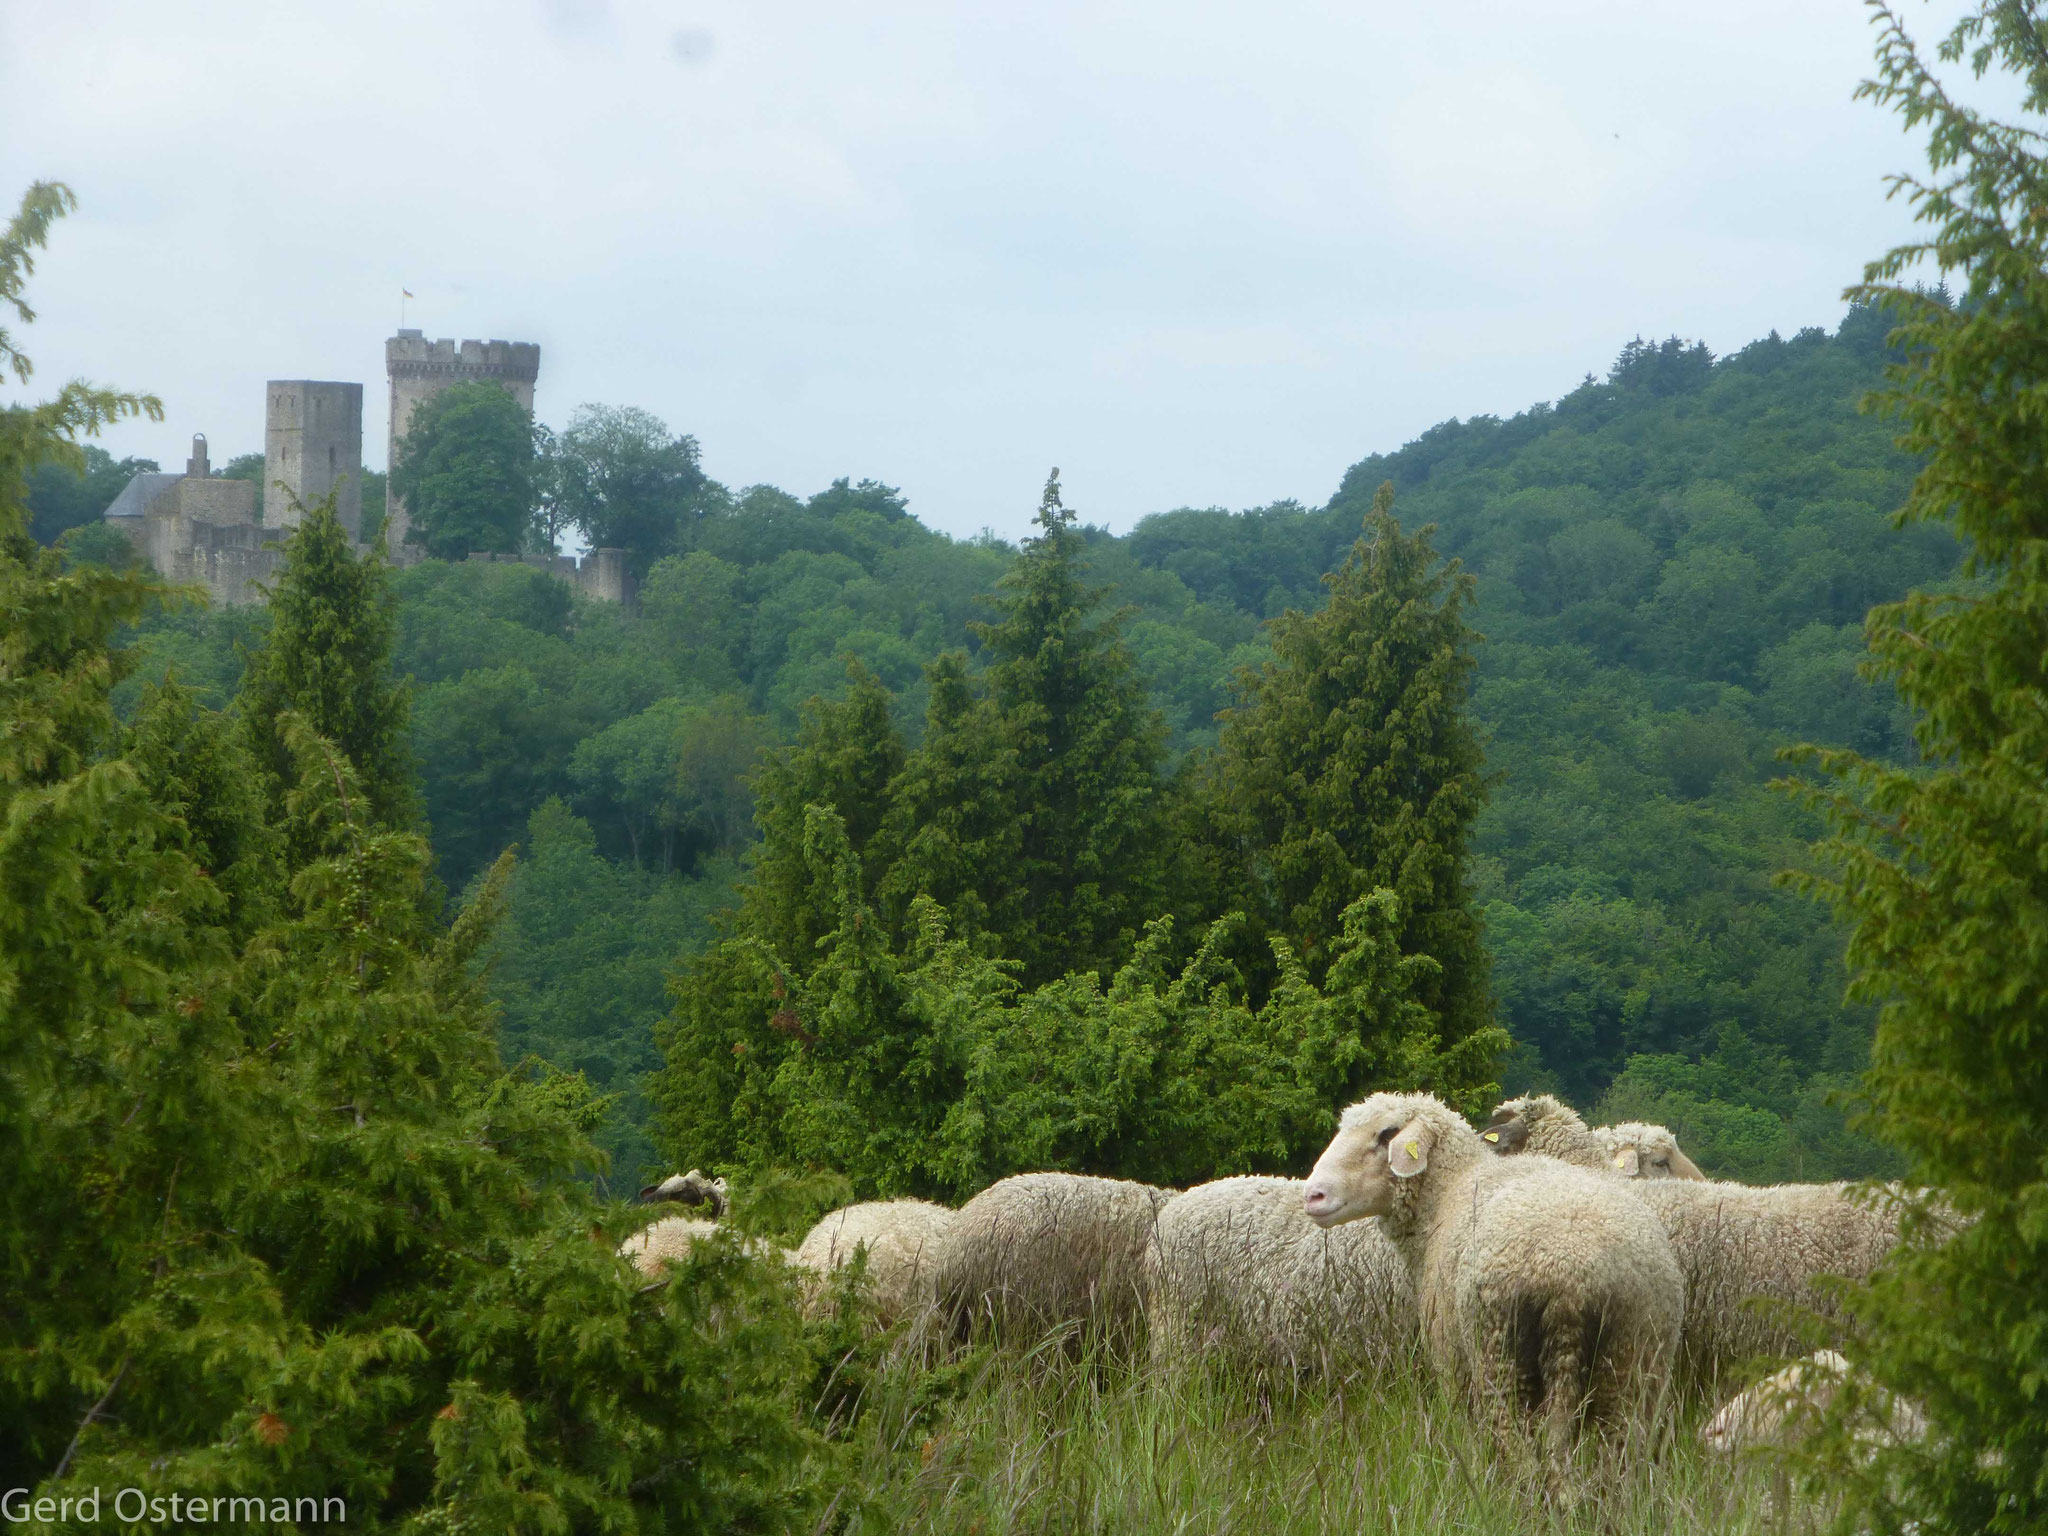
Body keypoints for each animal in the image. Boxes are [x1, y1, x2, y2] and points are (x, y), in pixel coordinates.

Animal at [1310, 1089, 1679, 1458]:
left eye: (1386, 1135)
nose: (1313, 1195)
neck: (1448, 1191)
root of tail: (1573, 1275)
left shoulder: (1452, 1365)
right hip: (1633, 1368)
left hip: (1500, 1360)